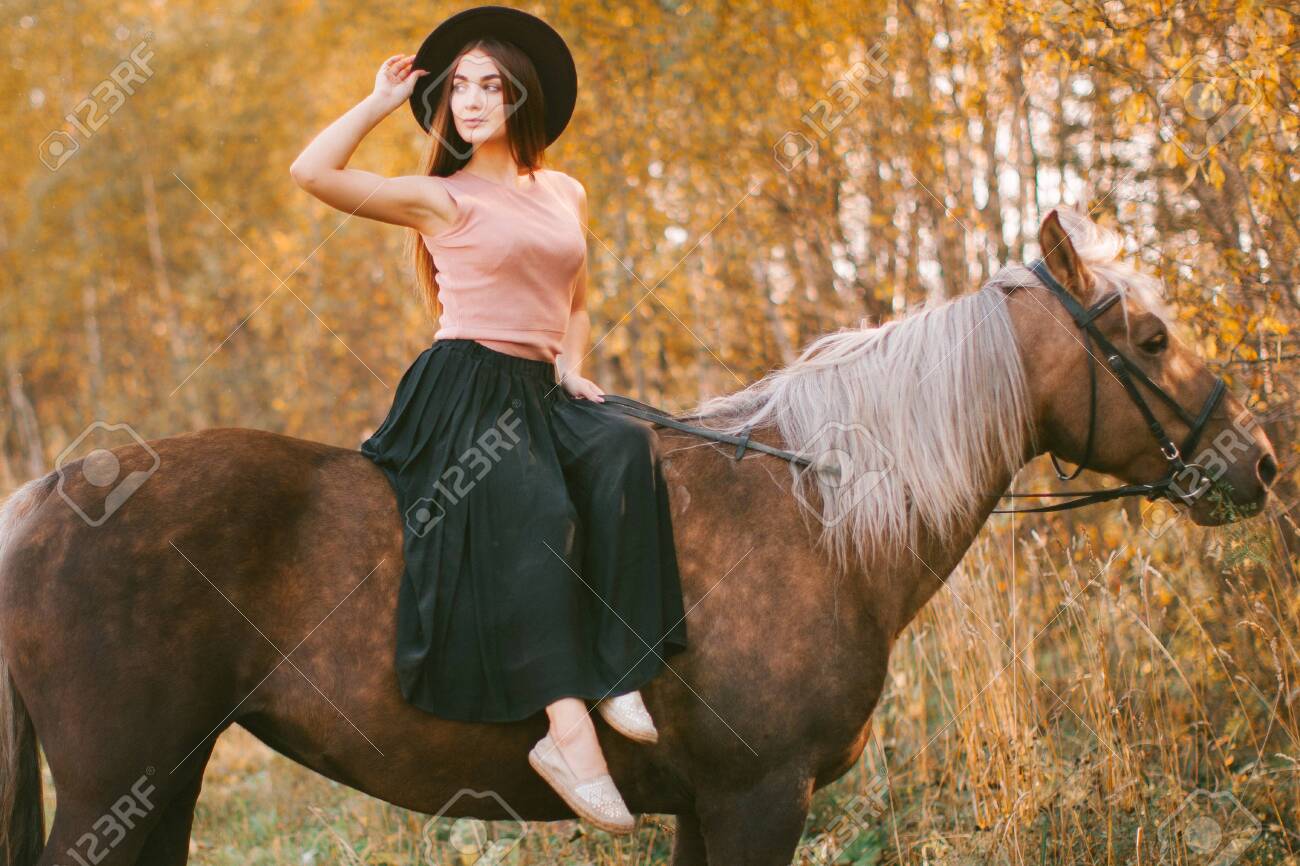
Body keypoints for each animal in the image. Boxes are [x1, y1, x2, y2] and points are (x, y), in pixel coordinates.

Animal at [0, 210, 1279, 863]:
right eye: (1151, 337)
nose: (1255, 460)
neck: (815, 519)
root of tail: (51, 492)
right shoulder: (762, 798)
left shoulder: (714, 807)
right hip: (117, 783)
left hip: (160, 785)